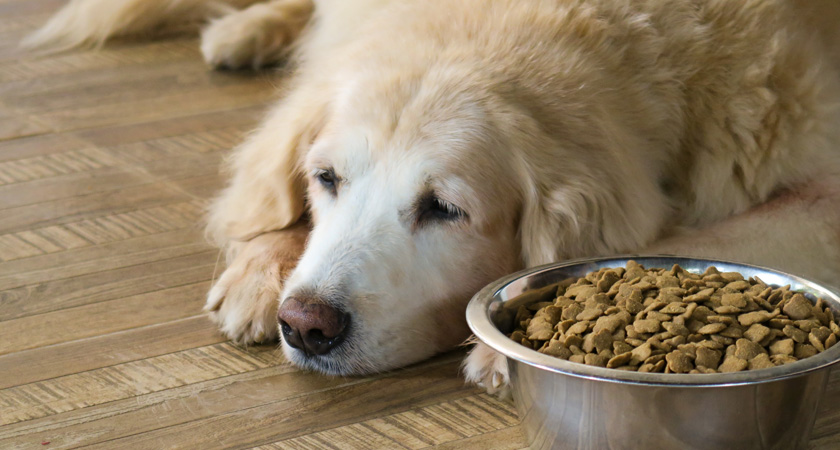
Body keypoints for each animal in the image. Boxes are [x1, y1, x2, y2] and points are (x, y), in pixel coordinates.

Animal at [27, 0, 840, 394]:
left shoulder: (817, 187)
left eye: (444, 210)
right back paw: (245, 29)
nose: (305, 326)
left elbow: (700, 243)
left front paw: (504, 352)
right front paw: (262, 267)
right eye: (326, 180)